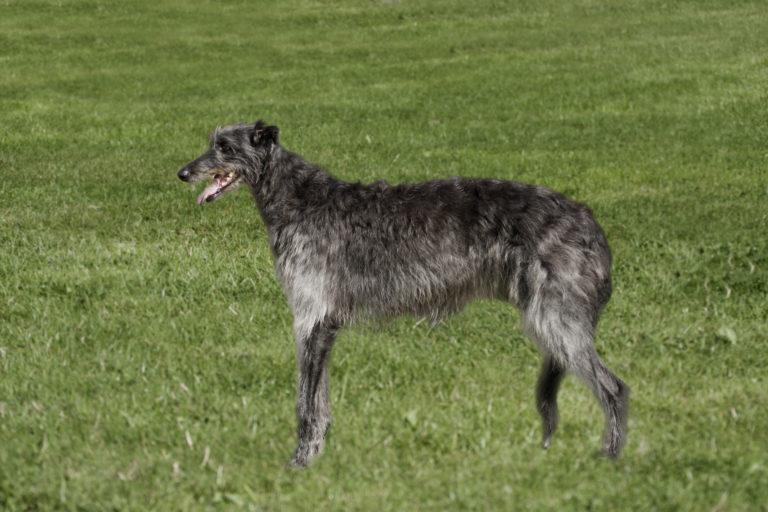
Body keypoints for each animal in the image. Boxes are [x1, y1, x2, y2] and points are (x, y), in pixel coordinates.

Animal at [178, 120, 632, 468]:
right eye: (210, 142)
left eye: (224, 147)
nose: (182, 173)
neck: (298, 201)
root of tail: (590, 222)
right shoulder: (323, 326)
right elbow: (320, 402)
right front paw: (318, 457)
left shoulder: (312, 319)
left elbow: (306, 403)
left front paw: (300, 463)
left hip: (556, 319)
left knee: (615, 388)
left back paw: (609, 458)